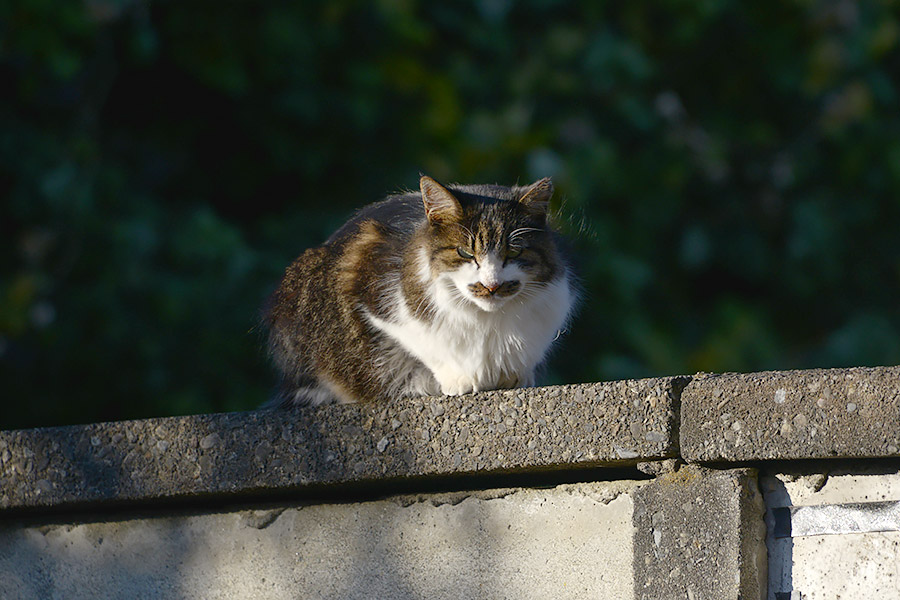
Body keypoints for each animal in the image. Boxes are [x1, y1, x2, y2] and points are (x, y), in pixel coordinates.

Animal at [268, 176, 576, 406]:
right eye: (465, 253)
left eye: (513, 252)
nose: (491, 285)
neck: (488, 321)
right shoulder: (374, 292)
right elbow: (425, 344)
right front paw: (457, 379)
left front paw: (514, 375)